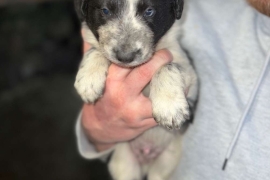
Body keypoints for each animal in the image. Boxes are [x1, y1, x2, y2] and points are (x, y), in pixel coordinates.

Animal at [74, 0, 198, 179]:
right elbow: (96, 50)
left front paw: (169, 107)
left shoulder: (191, 75)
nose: (125, 57)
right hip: (125, 161)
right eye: (105, 11)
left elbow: (167, 67)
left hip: (166, 161)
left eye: (149, 11)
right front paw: (88, 80)